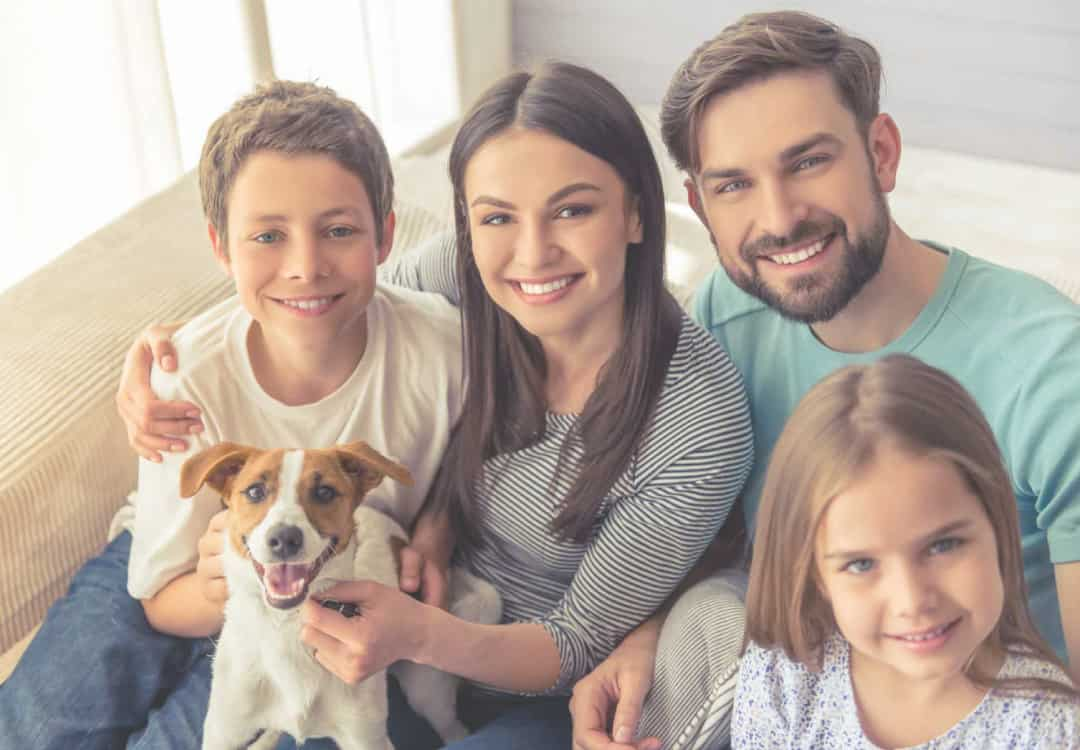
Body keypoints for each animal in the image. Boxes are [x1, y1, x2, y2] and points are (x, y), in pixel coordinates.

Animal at [181, 443, 501, 747]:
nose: (284, 538)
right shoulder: (224, 733)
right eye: (255, 491)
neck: (288, 626)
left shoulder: (367, 738)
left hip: (427, 690)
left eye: (324, 492)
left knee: (453, 727)